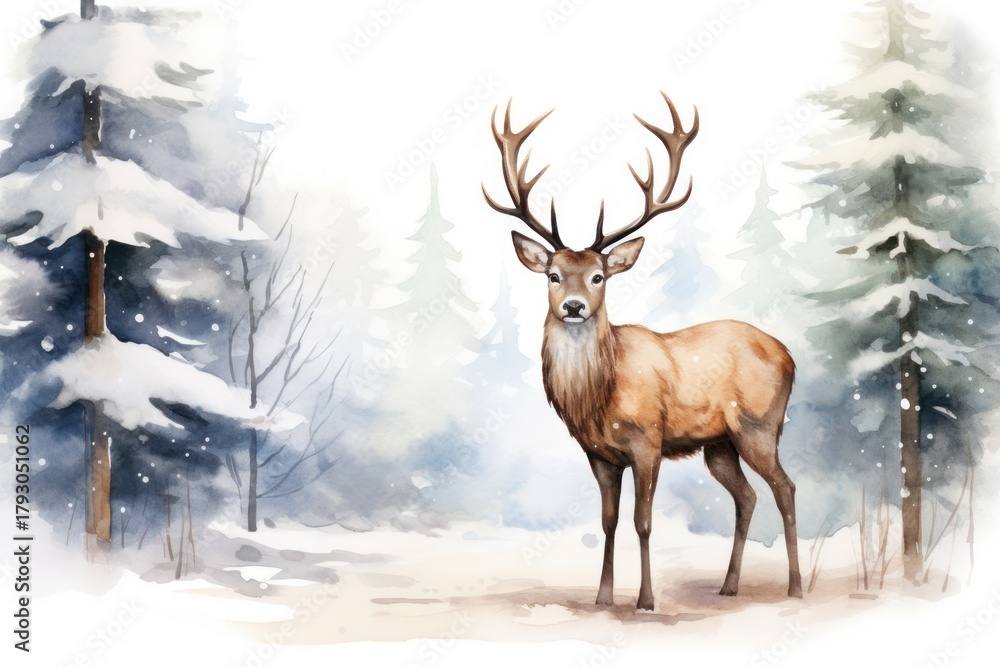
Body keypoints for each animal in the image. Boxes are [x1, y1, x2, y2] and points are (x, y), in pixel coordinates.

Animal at [482, 93, 801, 611]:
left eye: (599, 276)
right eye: (553, 275)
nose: (574, 306)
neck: (597, 399)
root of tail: (790, 356)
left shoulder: (647, 441)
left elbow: (643, 522)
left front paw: (646, 600)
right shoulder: (599, 455)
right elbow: (609, 522)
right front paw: (602, 597)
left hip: (759, 425)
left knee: (785, 488)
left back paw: (795, 587)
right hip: (719, 445)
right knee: (748, 497)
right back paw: (729, 585)